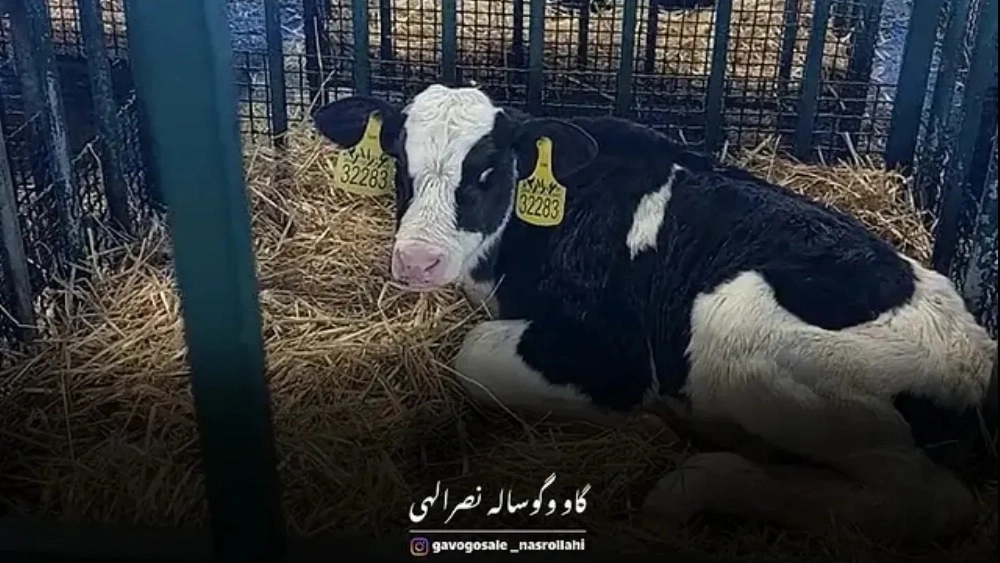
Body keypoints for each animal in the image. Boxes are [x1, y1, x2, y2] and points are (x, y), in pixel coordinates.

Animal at [312, 84, 998, 545]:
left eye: (487, 172)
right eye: (401, 165)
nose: (416, 261)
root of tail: (971, 356)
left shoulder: (611, 358)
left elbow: (472, 355)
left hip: (746, 338)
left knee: (933, 501)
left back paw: (699, 481)